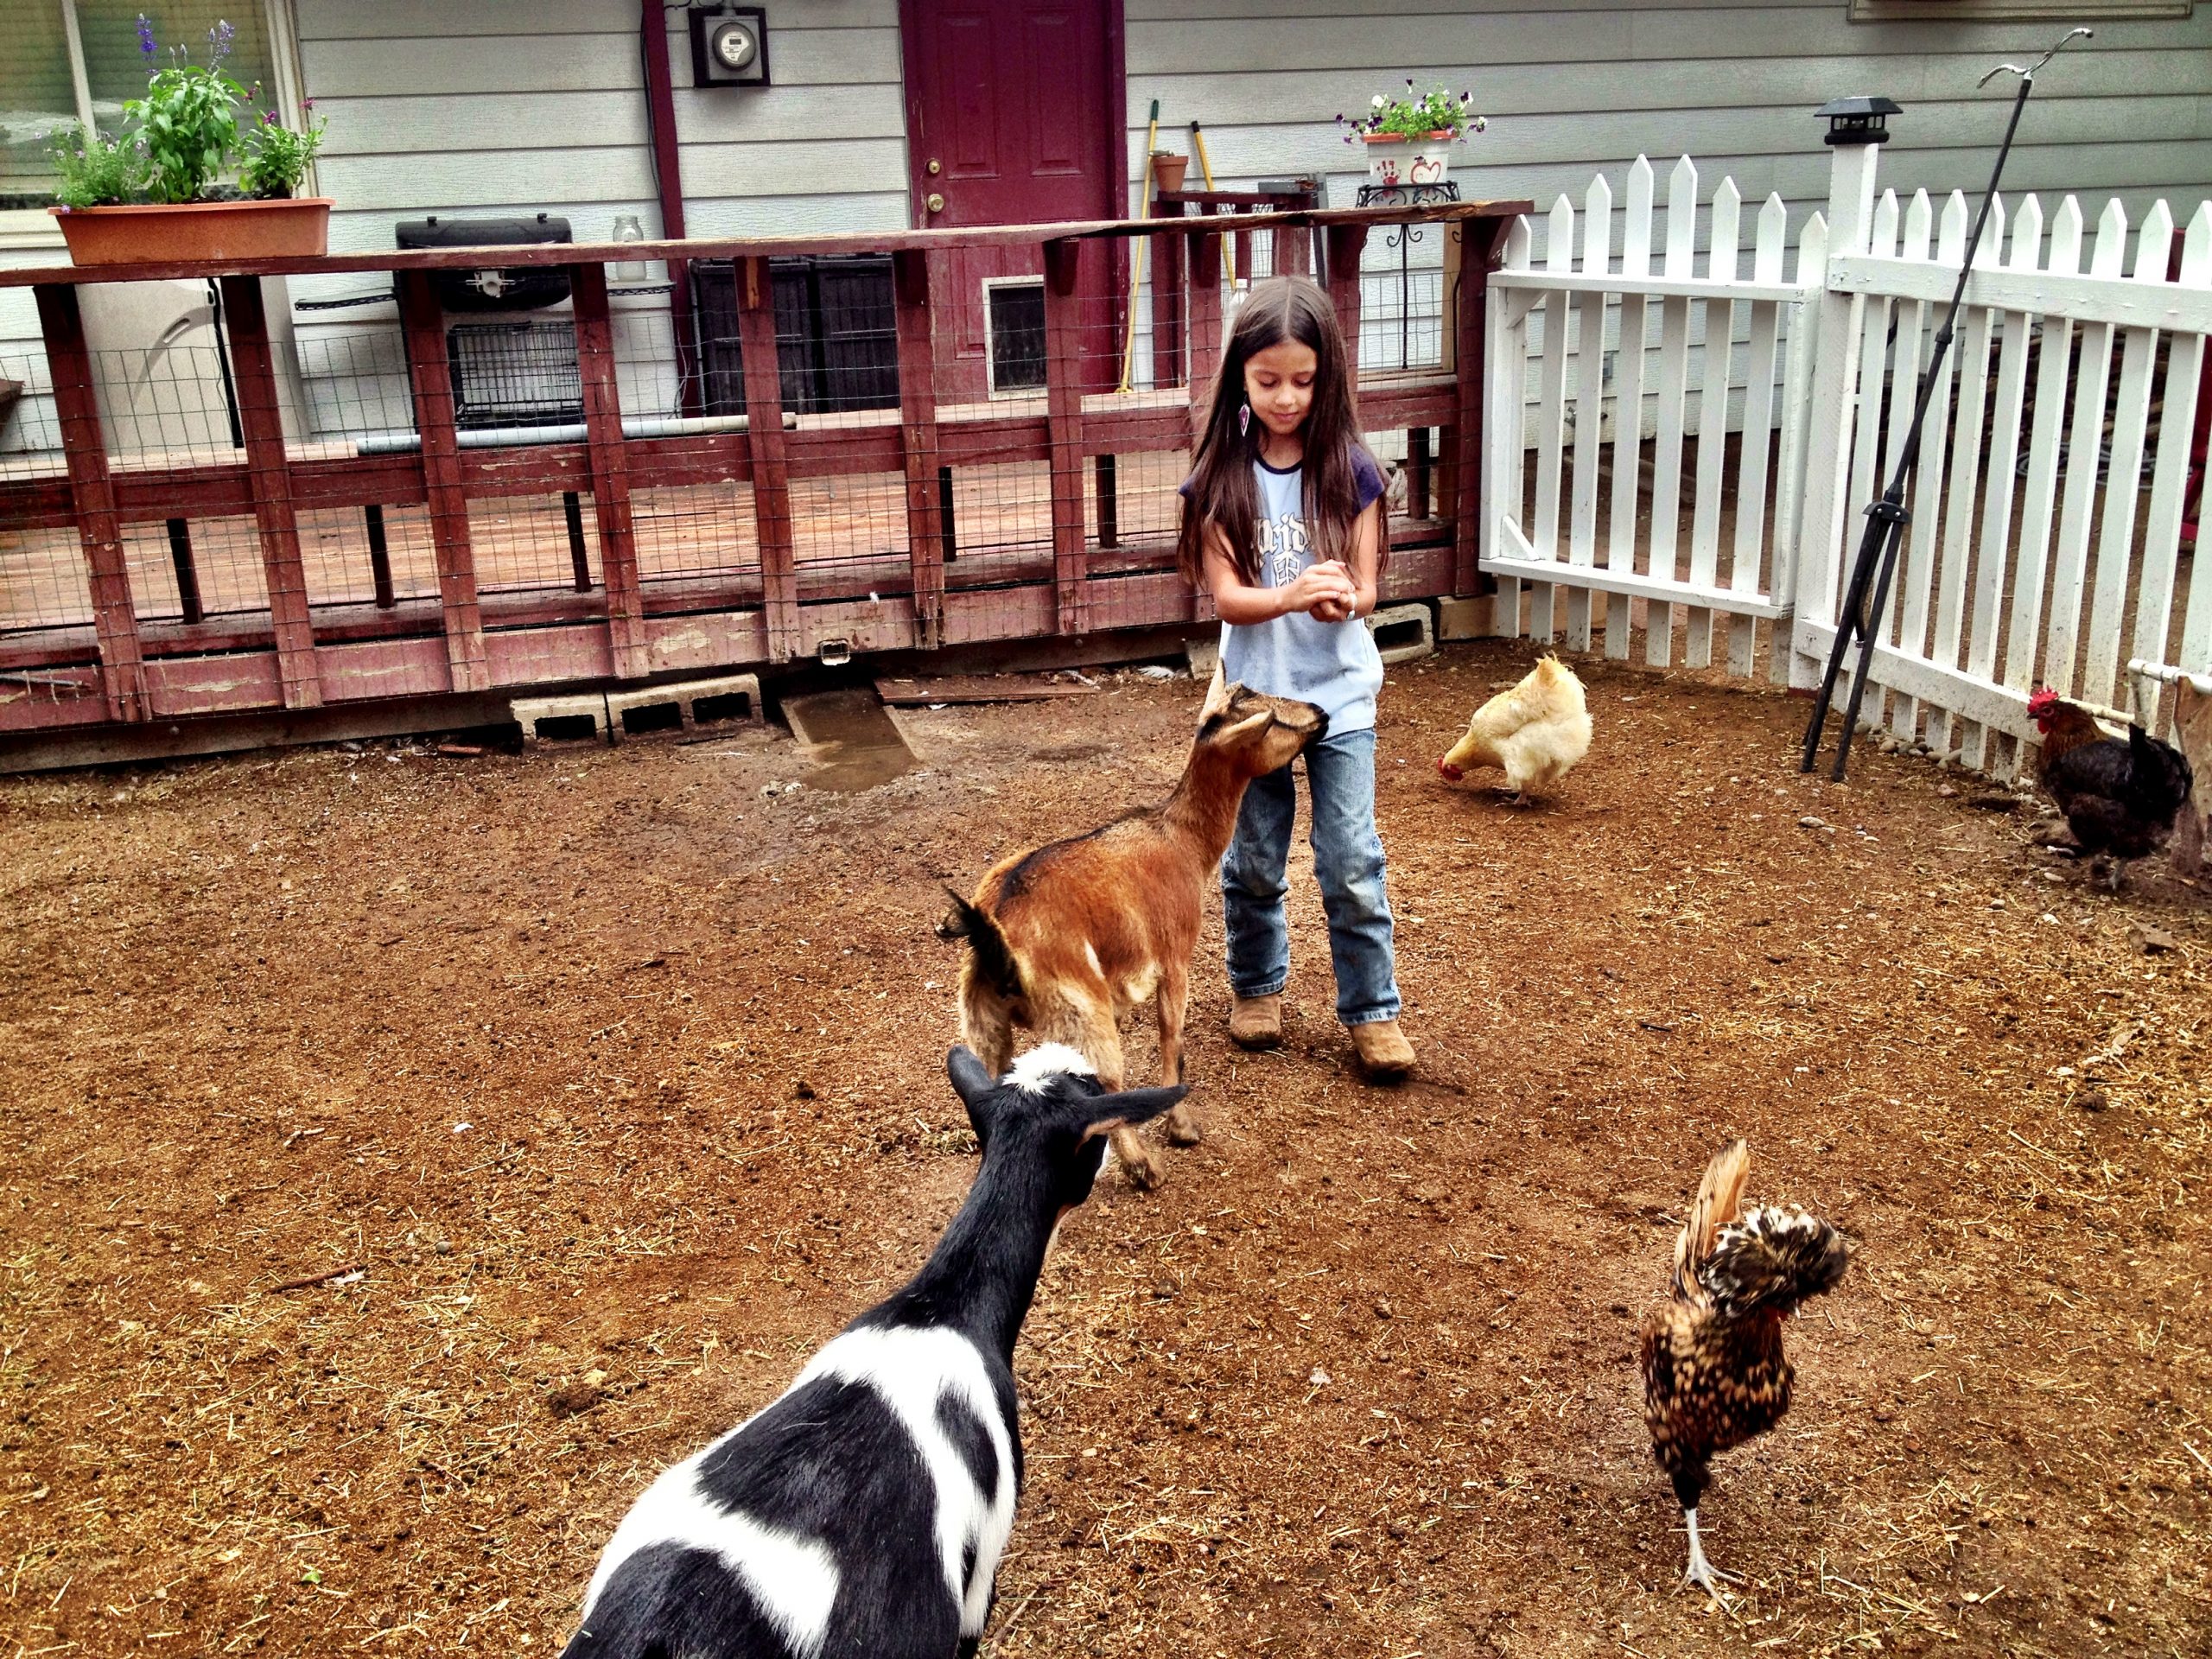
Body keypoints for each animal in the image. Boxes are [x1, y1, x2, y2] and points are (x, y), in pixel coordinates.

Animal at [942, 668, 1318, 1185]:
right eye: (1273, 720)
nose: (1321, 713)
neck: (1181, 838)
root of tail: (992, 937)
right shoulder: (1174, 960)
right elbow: (1172, 1041)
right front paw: (1181, 1128)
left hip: (985, 1026)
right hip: (1080, 1013)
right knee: (1106, 1083)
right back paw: (1143, 1166)